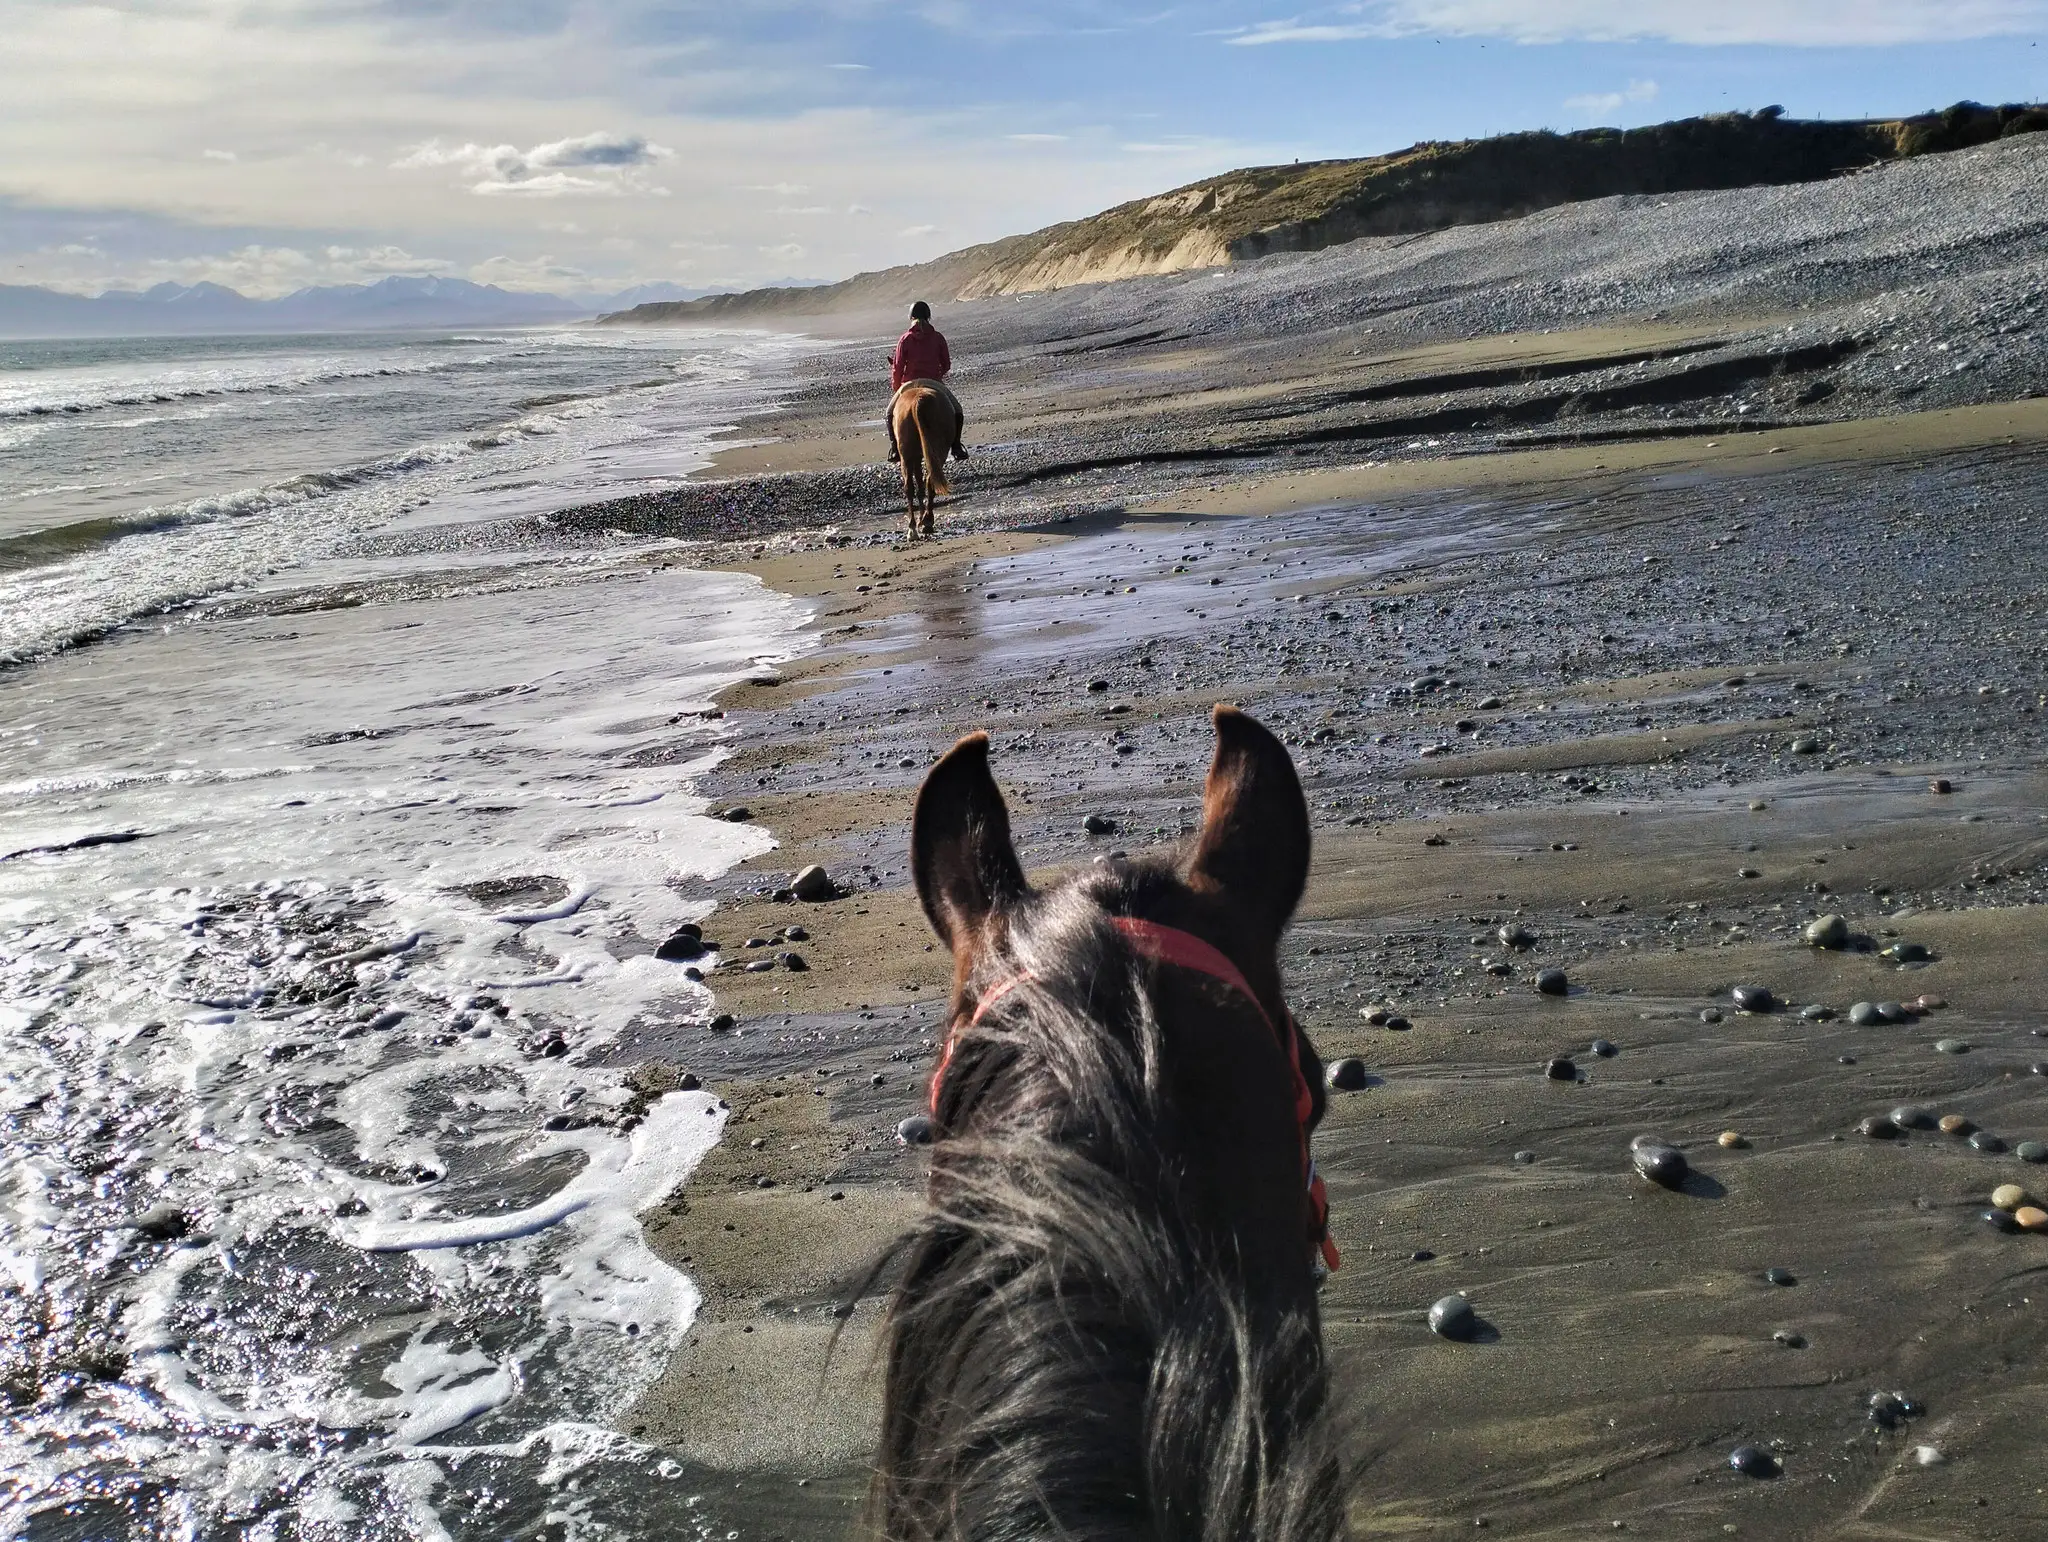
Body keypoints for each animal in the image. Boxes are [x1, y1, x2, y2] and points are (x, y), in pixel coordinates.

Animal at [890, 382, 954, 540]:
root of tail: (918, 400)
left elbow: (918, 484)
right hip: (937, 451)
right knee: (929, 481)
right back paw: (926, 522)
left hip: (907, 455)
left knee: (910, 487)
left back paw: (913, 528)